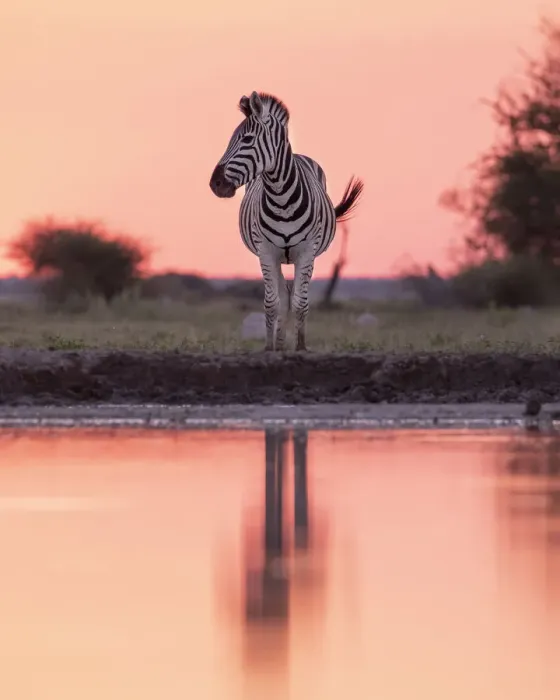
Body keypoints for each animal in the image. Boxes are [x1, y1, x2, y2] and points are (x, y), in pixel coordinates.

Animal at [209, 91, 364, 352]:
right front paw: (270, 348)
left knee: (296, 295)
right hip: (276, 257)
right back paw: (279, 344)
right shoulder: (266, 251)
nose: (215, 184)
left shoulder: (307, 251)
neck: (281, 198)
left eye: (247, 139)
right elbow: (272, 302)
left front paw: (300, 348)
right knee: (282, 295)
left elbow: (301, 302)